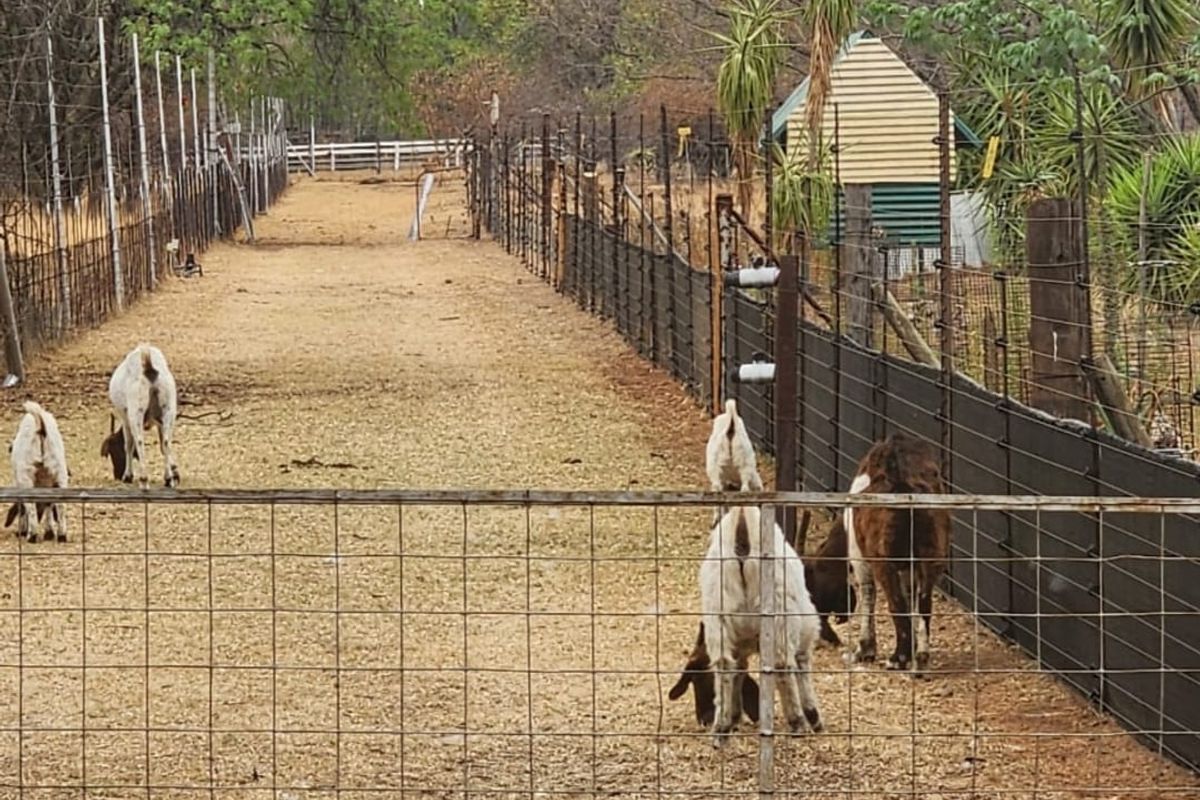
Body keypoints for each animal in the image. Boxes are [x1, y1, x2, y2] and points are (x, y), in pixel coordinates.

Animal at [6, 401, 69, 543]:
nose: (19, 533)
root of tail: (40, 427)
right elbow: (48, 505)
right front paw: (49, 533)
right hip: (60, 472)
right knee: (61, 505)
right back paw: (62, 535)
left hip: (26, 476)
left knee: (31, 506)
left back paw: (32, 536)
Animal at [100, 343, 180, 489]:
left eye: (113, 451)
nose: (117, 475)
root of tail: (148, 367)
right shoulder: (160, 422)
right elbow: (162, 445)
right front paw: (174, 471)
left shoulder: (125, 419)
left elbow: (128, 445)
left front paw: (128, 476)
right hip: (169, 410)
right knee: (166, 442)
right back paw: (168, 478)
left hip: (136, 412)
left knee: (139, 441)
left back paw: (143, 479)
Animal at [700, 504, 822, 747]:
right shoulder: (806, 632)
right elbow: (802, 664)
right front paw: (812, 714)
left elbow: (738, 670)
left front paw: (734, 716)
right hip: (780, 611)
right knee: (782, 664)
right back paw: (798, 722)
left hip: (717, 612)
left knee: (723, 665)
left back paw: (721, 728)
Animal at [843, 433, 951, 673]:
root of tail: (904, 482)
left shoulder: (860, 557)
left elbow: (868, 594)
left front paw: (864, 649)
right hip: (932, 556)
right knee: (923, 602)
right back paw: (920, 658)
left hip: (884, 561)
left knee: (896, 603)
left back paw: (898, 658)